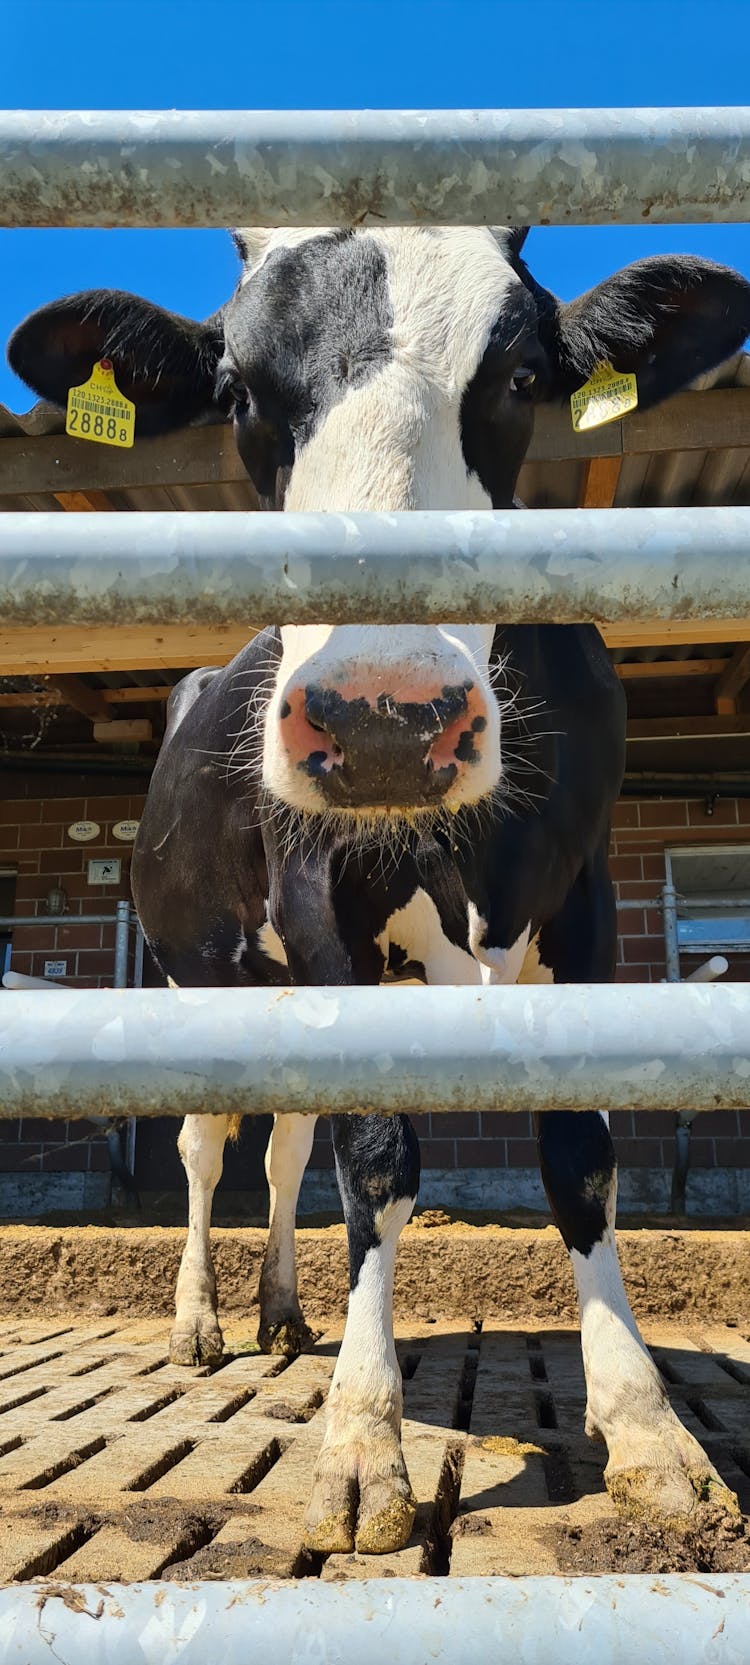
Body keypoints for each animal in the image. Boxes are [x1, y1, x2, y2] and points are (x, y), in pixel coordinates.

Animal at [10, 228, 750, 1551]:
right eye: (239, 390)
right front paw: (363, 1446)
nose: (383, 718)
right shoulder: (321, 913)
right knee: (208, 1147)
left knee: (283, 1148)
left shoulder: (587, 902)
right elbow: (376, 1167)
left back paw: (281, 1313)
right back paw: (202, 1324)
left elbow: (578, 1156)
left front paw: (648, 1432)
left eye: (521, 377)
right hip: (204, 978)